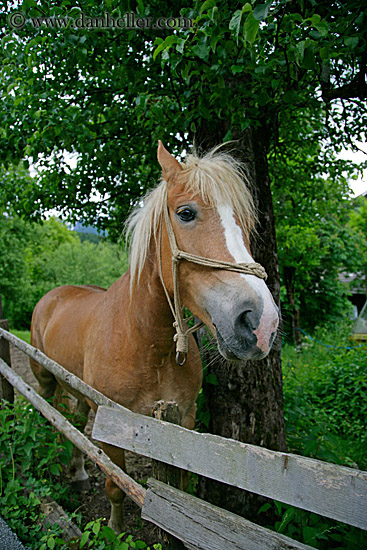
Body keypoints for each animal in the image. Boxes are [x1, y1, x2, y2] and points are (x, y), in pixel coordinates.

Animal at [30, 143, 278, 536]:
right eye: (186, 213)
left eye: (248, 224)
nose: (261, 321)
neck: (146, 344)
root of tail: (53, 295)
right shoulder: (111, 423)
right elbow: (116, 485)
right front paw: (116, 529)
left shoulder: (184, 420)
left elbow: (181, 490)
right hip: (45, 378)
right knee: (52, 414)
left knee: (75, 418)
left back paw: (79, 473)